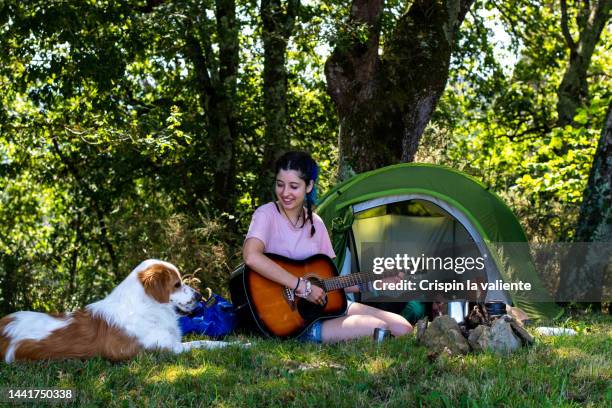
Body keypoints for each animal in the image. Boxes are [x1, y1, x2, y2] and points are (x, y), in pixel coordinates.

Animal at [0, 260, 235, 362]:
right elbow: (203, 343)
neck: (148, 307)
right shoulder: (165, 348)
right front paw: (237, 345)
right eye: (176, 284)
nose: (199, 296)